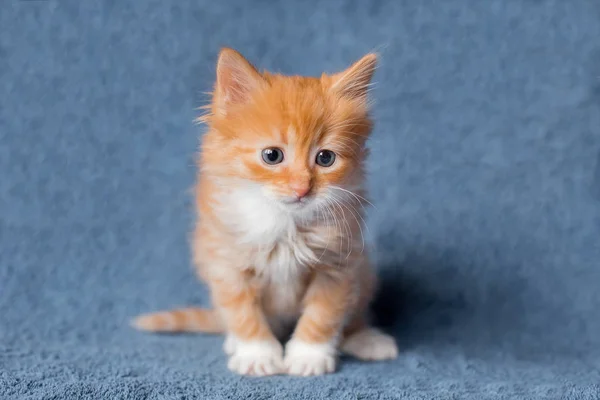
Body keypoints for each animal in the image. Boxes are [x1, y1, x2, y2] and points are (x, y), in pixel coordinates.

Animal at [135, 48, 398, 376]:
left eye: (325, 158)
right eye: (272, 155)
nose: (302, 188)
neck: (286, 224)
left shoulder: (340, 264)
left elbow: (324, 313)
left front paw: (308, 355)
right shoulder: (225, 261)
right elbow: (242, 311)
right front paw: (257, 354)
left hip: (364, 273)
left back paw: (365, 339)